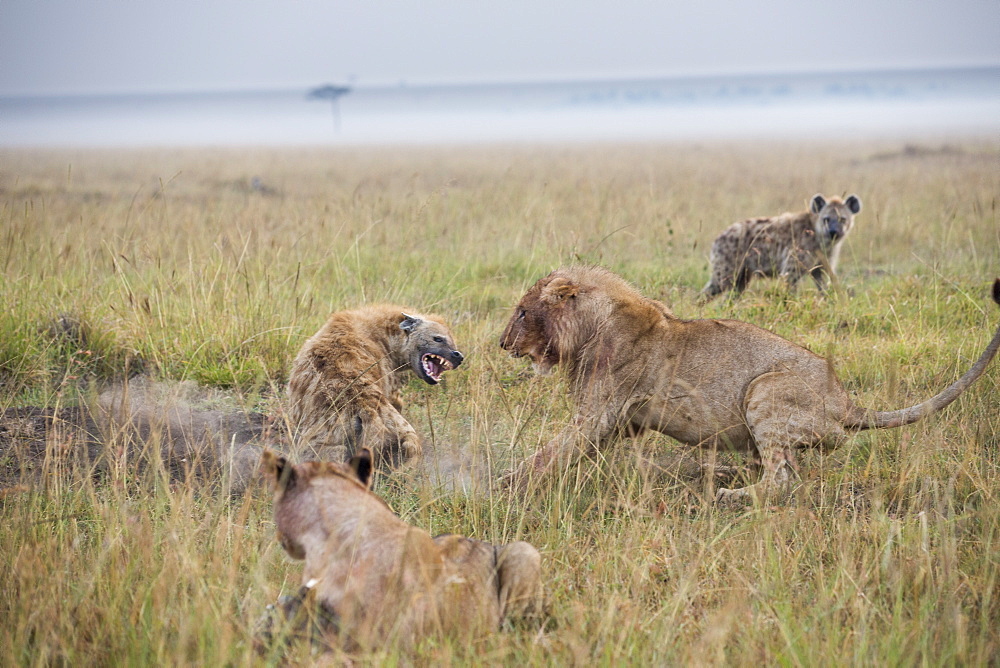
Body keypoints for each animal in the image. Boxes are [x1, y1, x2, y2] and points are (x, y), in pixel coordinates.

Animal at [500, 264, 1000, 500]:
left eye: (523, 312)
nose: (502, 343)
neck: (590, 325)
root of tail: (847, 403)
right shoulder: (619, 423)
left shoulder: (596, 415)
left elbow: (549, 454)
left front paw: (504, 485)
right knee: (776, 467)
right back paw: (724, 471)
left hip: (765, 391)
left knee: (782, 479)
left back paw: (731, 493)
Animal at [704, 193, 860, 298]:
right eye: (826, 219)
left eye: (842, 219)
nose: (834, 231)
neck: (821, 241)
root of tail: (718, 236)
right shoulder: (793, 263)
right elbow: (790, 288)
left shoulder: (821, 264)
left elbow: (822, 285)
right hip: (727, 269)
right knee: (711, 290)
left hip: (743, 275)